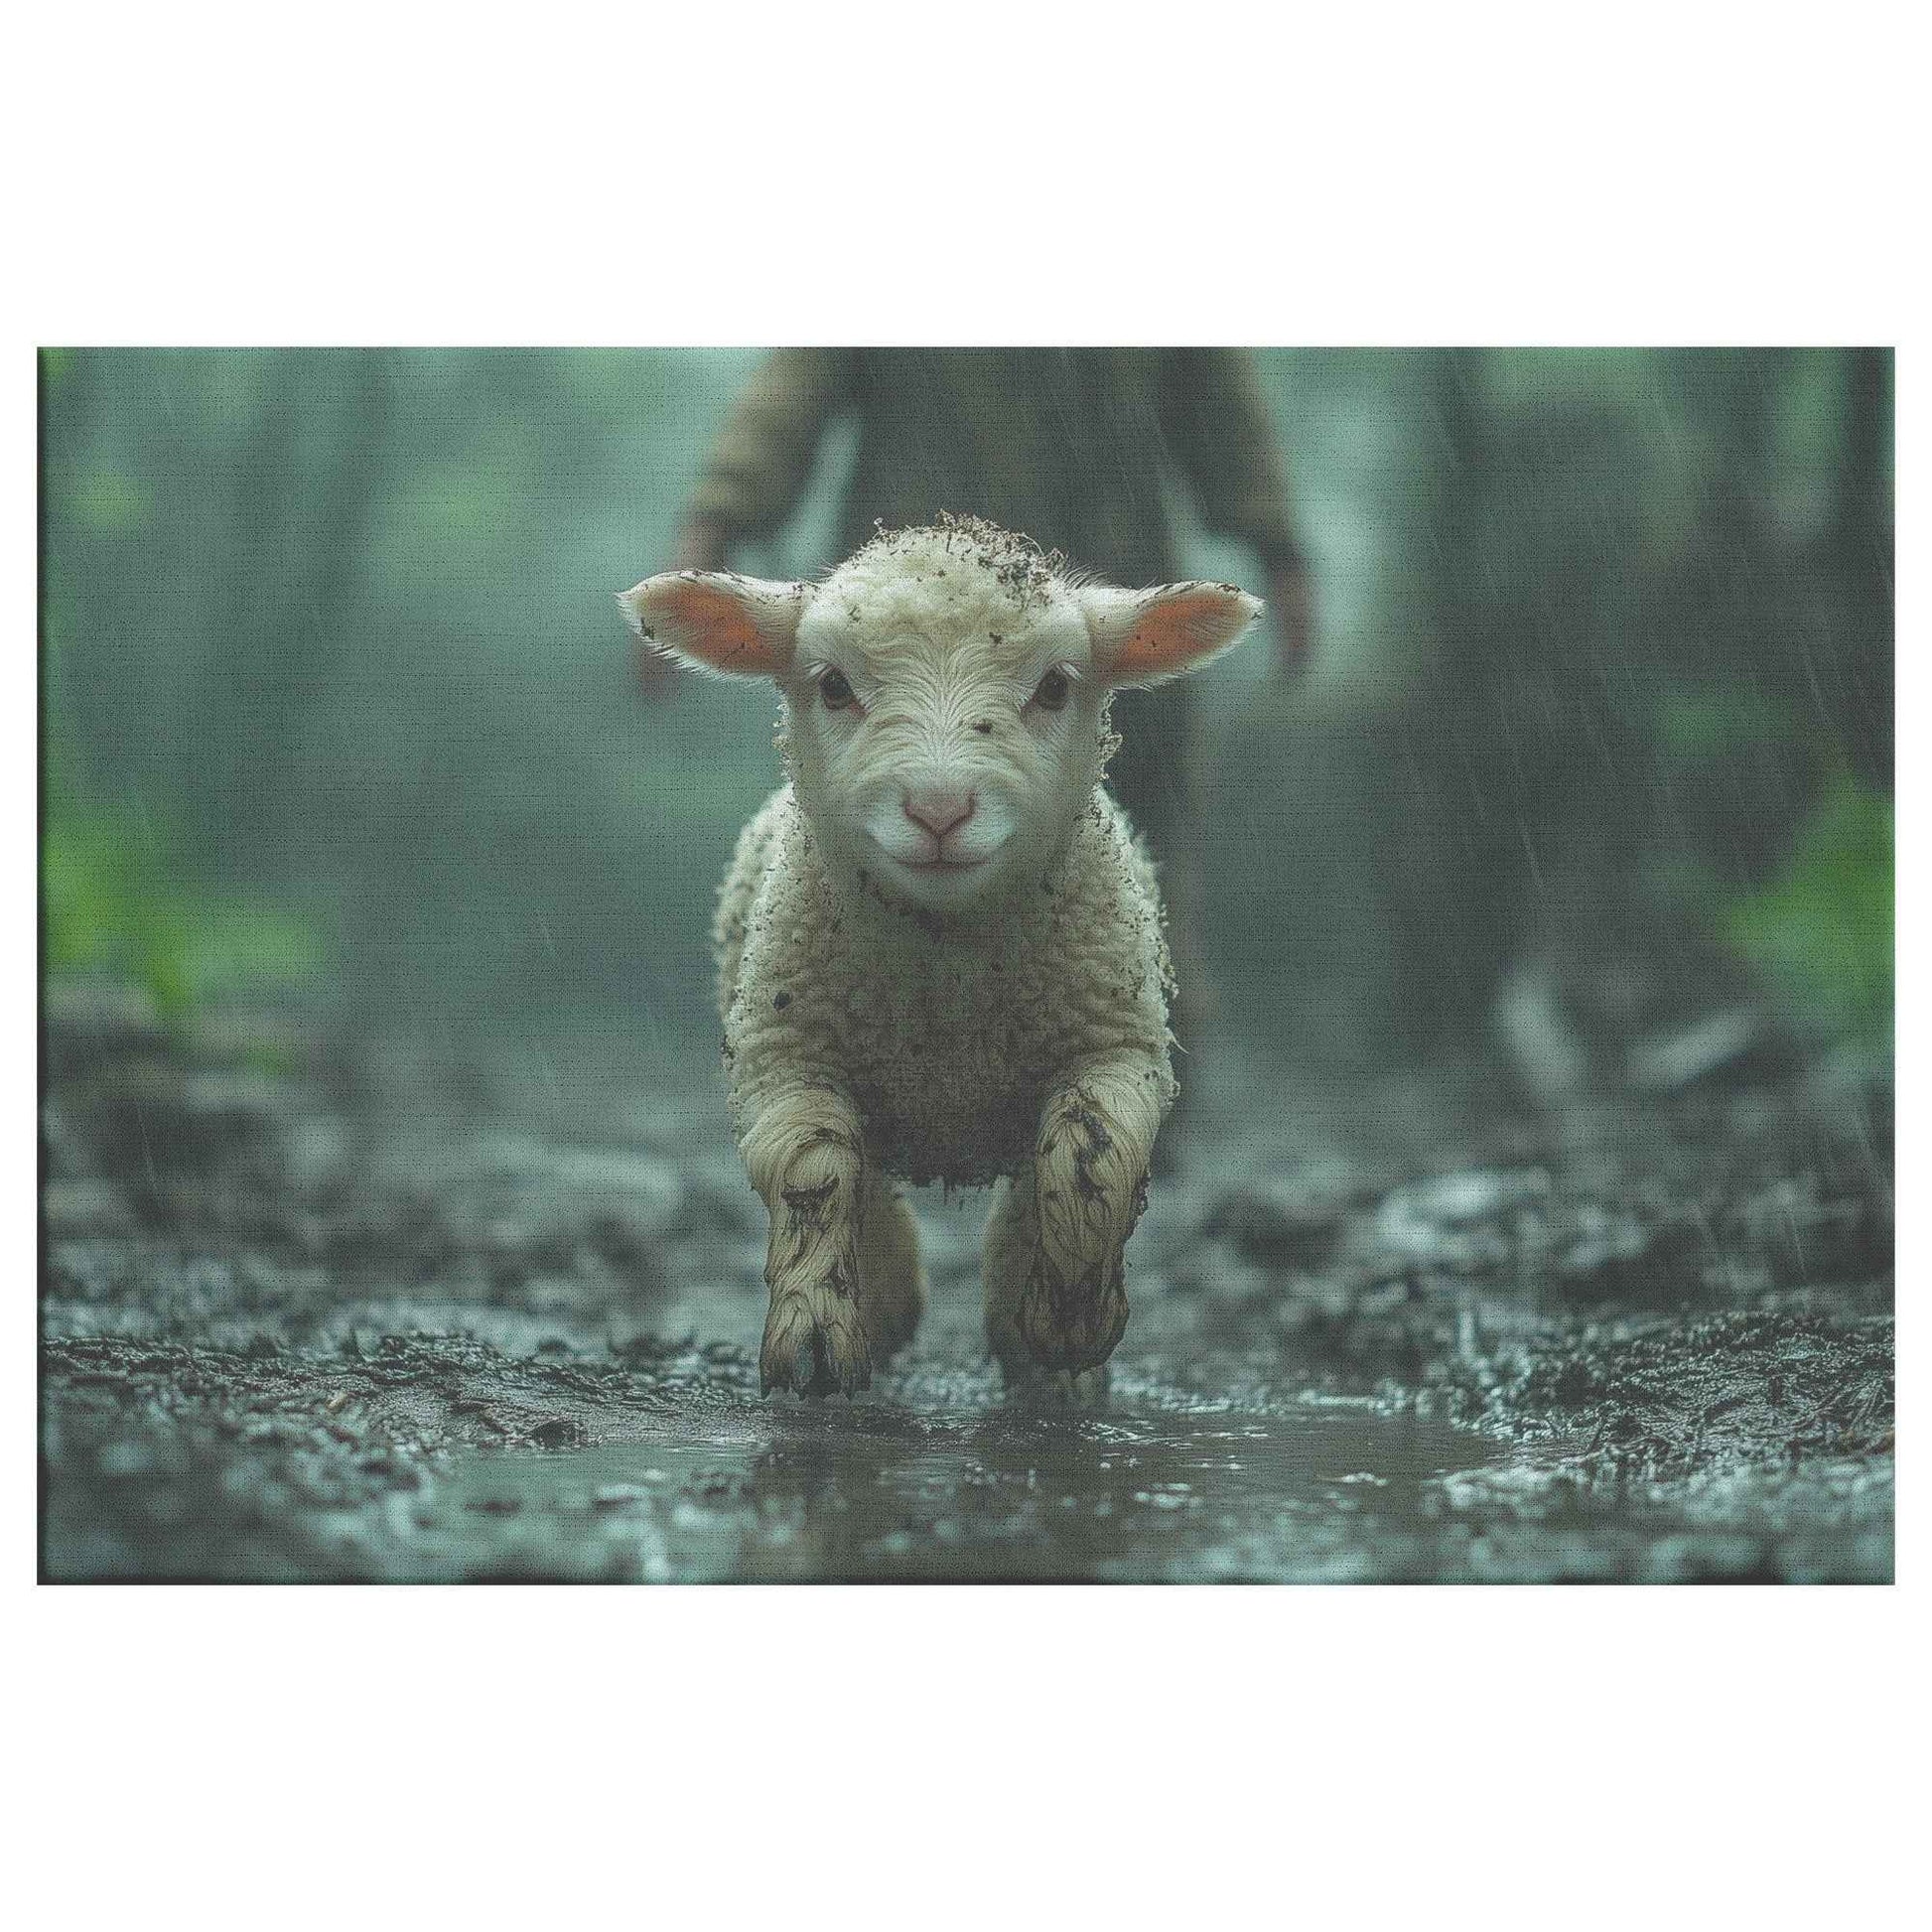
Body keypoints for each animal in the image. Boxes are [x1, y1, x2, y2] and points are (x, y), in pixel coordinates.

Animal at [618, 516, 1261, 1397]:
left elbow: (1091, 1156)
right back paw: (892, 1308)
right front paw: (816, 1335)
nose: (939, 808)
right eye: (832, 686)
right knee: (867, 1186)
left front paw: (1068, 1323)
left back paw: (1034, 1345)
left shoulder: (1118, 1047)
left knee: (1035, 1183)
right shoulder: (783, 1059)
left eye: (1055, 687)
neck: (948, 981)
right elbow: (814, 1171)